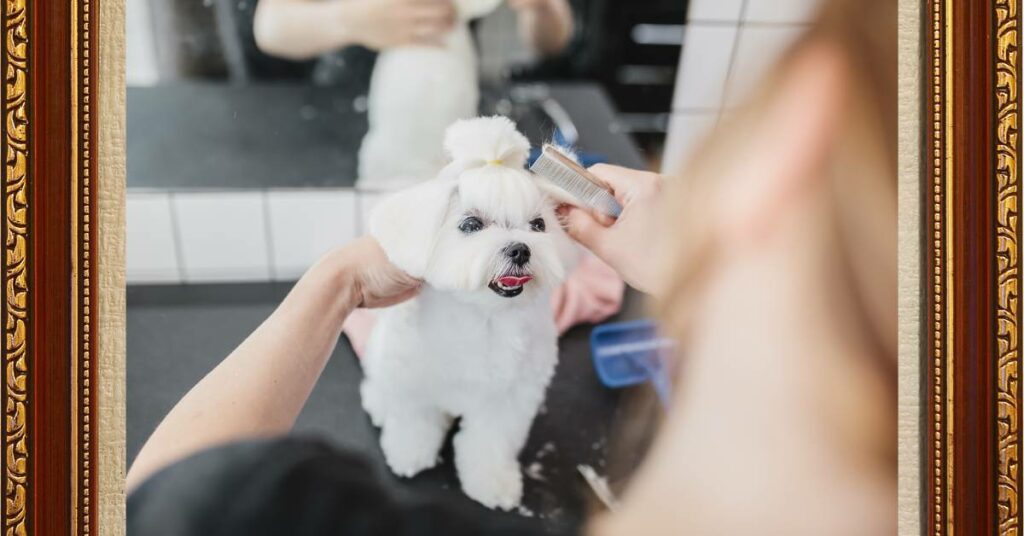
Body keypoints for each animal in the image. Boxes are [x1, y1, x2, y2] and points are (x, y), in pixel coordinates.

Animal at [360, 115, 577, 510]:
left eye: (539, 225)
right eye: (471, 225)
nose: (520, 249)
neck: (482, 319)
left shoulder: (509, 398)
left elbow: (490, 441)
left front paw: (493, 482)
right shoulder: (412, 380)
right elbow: (413, 419)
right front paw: (409, 453)